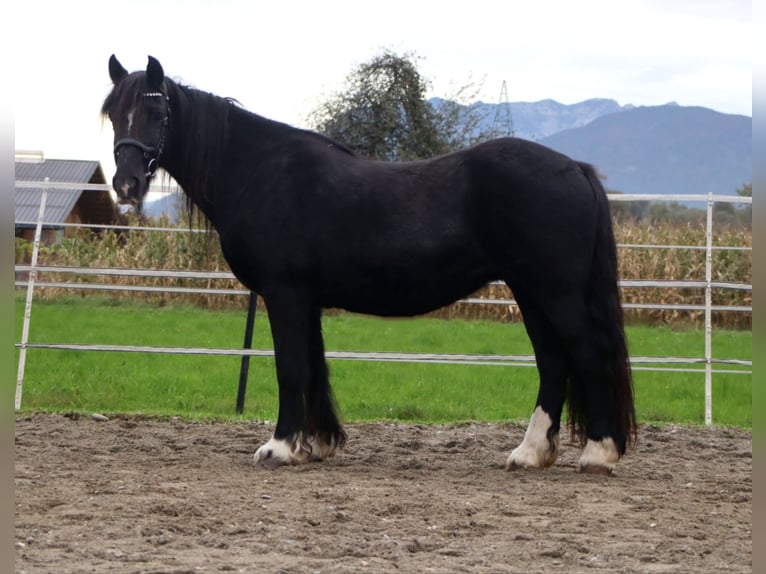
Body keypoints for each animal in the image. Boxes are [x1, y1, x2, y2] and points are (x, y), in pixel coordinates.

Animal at [106, 55, 636, 476]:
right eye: (113, 113)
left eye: (157, 111)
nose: (127, 185)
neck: (260, 172)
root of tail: (574, 168)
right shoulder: (305, 299)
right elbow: (314, 368)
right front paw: (317, 444)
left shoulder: (284, 293)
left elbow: (290, 368)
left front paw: (280, 447)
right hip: (531, 292)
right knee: (553, 363)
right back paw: (530, 453)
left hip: (554, 292)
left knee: (585, 354)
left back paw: (598, 453)